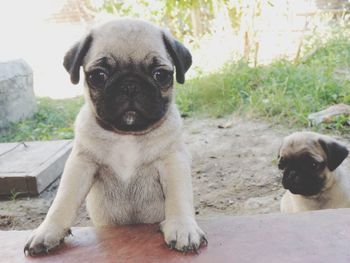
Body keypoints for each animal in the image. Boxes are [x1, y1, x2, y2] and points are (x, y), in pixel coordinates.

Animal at [24, 19, 206, 258]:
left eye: (160, 75)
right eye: (98, 76)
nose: (130, 85)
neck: (126, 135)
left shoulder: (173, 161)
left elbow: (179, 197)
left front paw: (183, 227)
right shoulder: (80, 164)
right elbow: (63, 199)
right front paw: (48, 231)